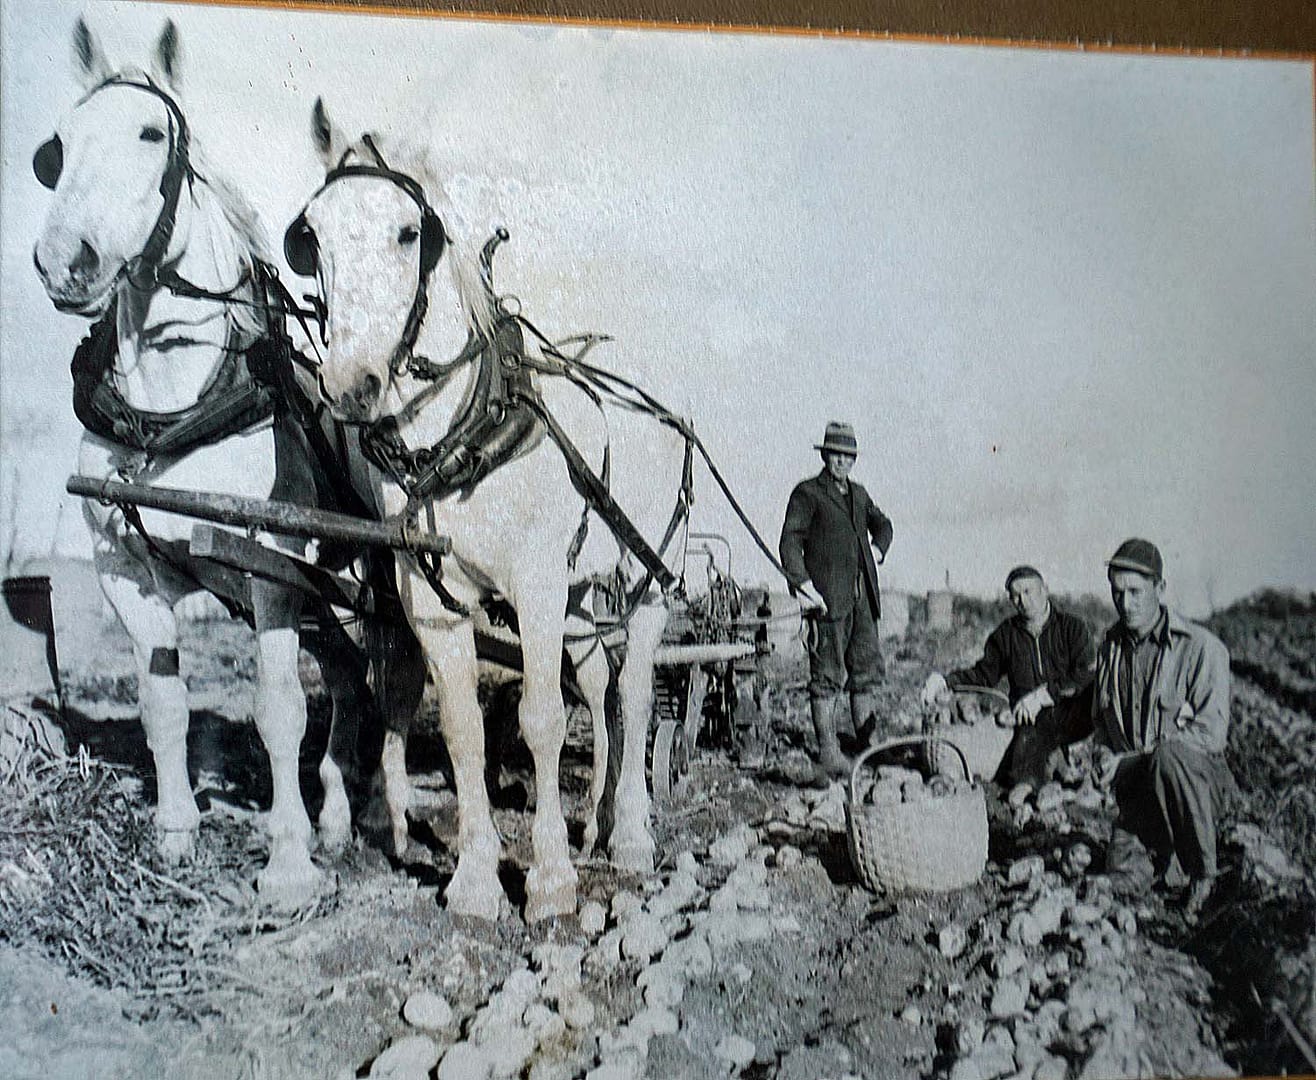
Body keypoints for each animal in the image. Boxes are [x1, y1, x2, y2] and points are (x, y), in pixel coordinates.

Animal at [33, 21, 418, 905]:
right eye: (58, 147)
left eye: (151, 134)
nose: (65, 258)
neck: (174, 408)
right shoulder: (125, 568)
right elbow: (163, 703)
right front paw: (176, 832)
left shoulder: (270, 569)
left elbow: (278, 710)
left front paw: (287, 861)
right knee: (347, 680)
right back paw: (339, 815)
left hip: (367, 586)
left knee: (387, 683)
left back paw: (375, 810)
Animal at [292, 103, 694, 920]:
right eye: (309, 237)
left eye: (409, 232)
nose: (350, 385)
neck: (467, 433)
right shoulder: (436, 603)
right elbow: (461, 730)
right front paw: (477, 877)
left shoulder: (535, 585)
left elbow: (540, 720)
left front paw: (548, 879)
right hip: (582, 593)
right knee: (597, 684)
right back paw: (598, 820)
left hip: (645, 577)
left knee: (634, 695)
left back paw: (632, 836)